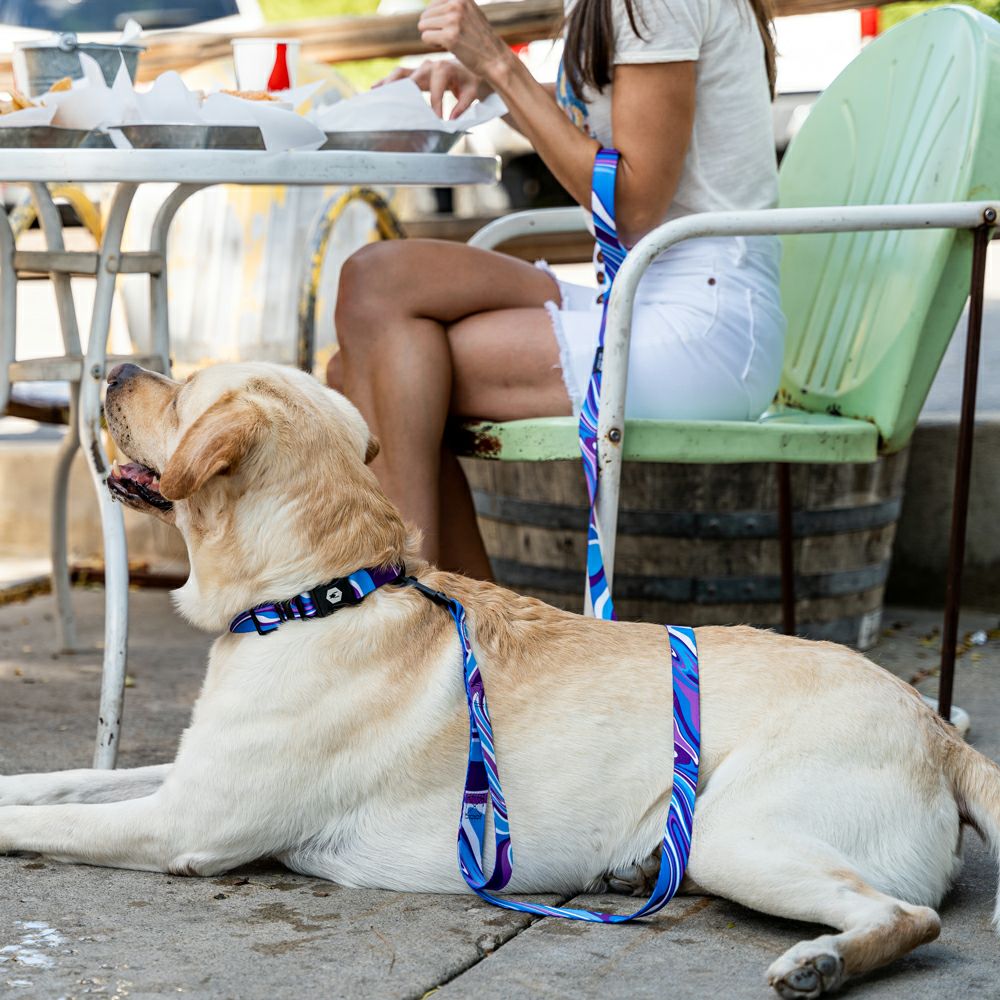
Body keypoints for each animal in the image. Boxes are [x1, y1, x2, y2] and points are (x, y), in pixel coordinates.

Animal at [1, 361, 998, 999]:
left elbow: (52, 821)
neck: (322, 592)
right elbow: (69, 779)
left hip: (739, 833)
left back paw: (820, 965)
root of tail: (938, 728)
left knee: (915, 918)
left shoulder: (188, 826)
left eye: (181, 386)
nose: (117, 365)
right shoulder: (187, 777)